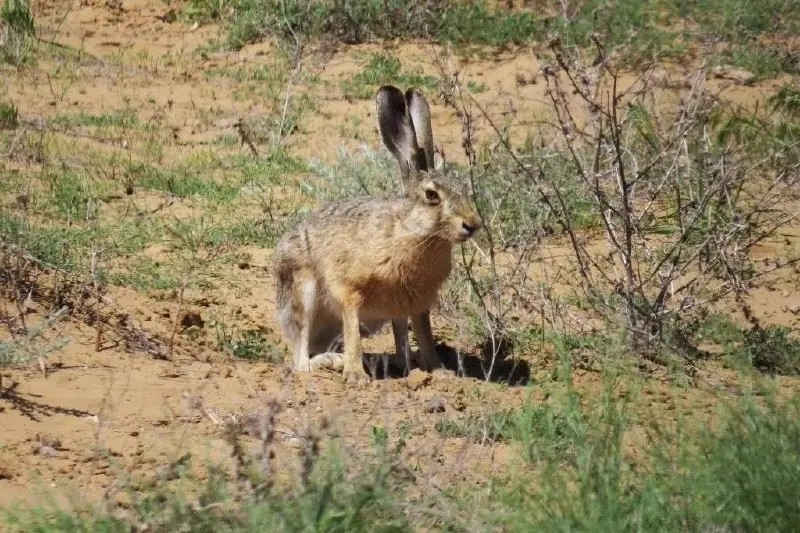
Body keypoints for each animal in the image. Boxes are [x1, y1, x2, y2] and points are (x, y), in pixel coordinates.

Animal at [274, 85, 482, 383]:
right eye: (432, 195)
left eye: (463, 187)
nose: (473, 223)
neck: (412, 232)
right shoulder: (349, 292)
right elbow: (353, 332)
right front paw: (355, 375)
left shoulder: (416, 306)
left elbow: (424, 336)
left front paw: (438, 371)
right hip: (303, 291)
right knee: (301, 360)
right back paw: (333, 361)